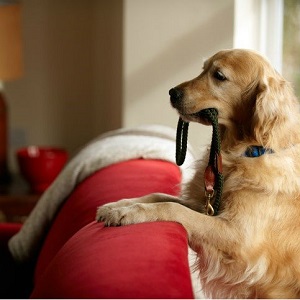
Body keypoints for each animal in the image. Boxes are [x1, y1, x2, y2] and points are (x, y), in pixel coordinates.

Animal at [96, 49, 300, 298]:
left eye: (219, 76)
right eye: (203, 69)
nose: (172, 92)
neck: (243, 152)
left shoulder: (238, 237)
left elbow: (171, 208)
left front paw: (128, 213)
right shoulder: (208, 207)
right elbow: (159, 196)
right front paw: (118, 206)